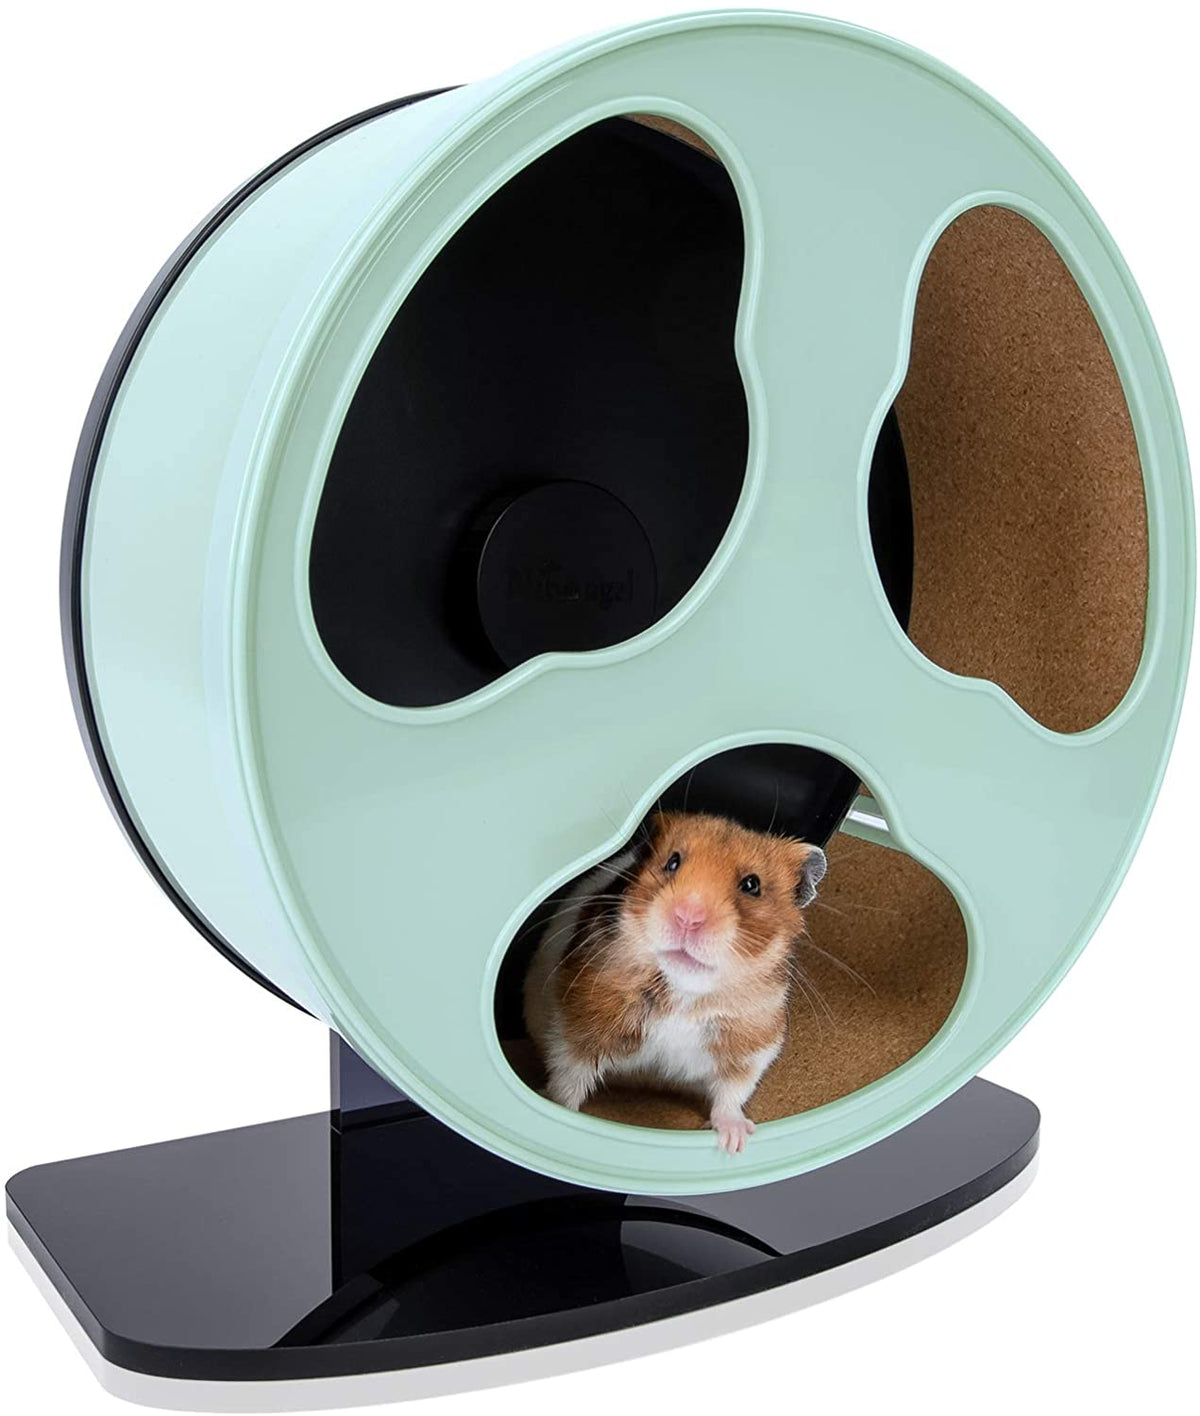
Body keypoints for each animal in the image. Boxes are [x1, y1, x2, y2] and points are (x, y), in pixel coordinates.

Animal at [524, 811, 827, 1154]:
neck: (684, 992)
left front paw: (734, 1143)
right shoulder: (578, 1025)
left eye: (753, 885)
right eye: (672, 862)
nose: (687, 916)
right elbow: (568, 1077)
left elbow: (732, 1093)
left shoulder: (752, 1047)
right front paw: (557, 1113)